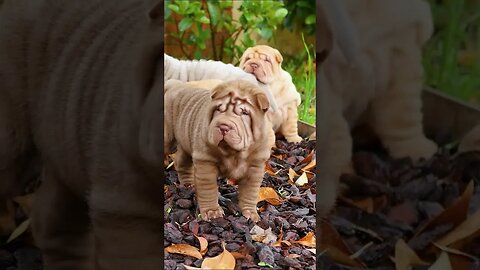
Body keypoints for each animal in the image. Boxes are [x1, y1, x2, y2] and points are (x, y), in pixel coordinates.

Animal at [164, 79, 274, 223]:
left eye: (244, 113)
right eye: (218, 109)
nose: (223, 126)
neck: (234, 152)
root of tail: (174, 84)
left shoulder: (255, 167)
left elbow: (250, 192)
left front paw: (250, 213)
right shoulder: (205, 162)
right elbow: (208, 189)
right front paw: (213, 212)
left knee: (182, 162)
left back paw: (188, 185)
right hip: (167, 136)